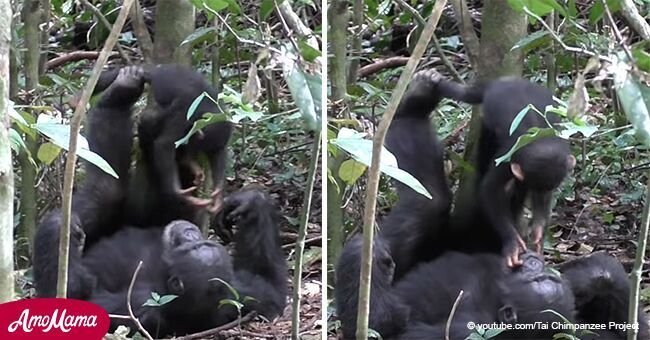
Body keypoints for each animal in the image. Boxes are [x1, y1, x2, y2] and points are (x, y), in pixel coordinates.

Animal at [33, 65, 286, 336]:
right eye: (197, 245)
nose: (190, 233)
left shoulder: (141, 306)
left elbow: (75, 299)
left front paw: (61, 229)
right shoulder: (245, 295)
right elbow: (272, 290)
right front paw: (247, 202)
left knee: (106, 184)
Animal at [426, 70, 572, 266]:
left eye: (546, 190)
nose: (542, 195)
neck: (540, 140)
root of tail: (502, 81)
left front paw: (538, 232)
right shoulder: (508, 158)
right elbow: (490, 189)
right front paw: (512, 243)